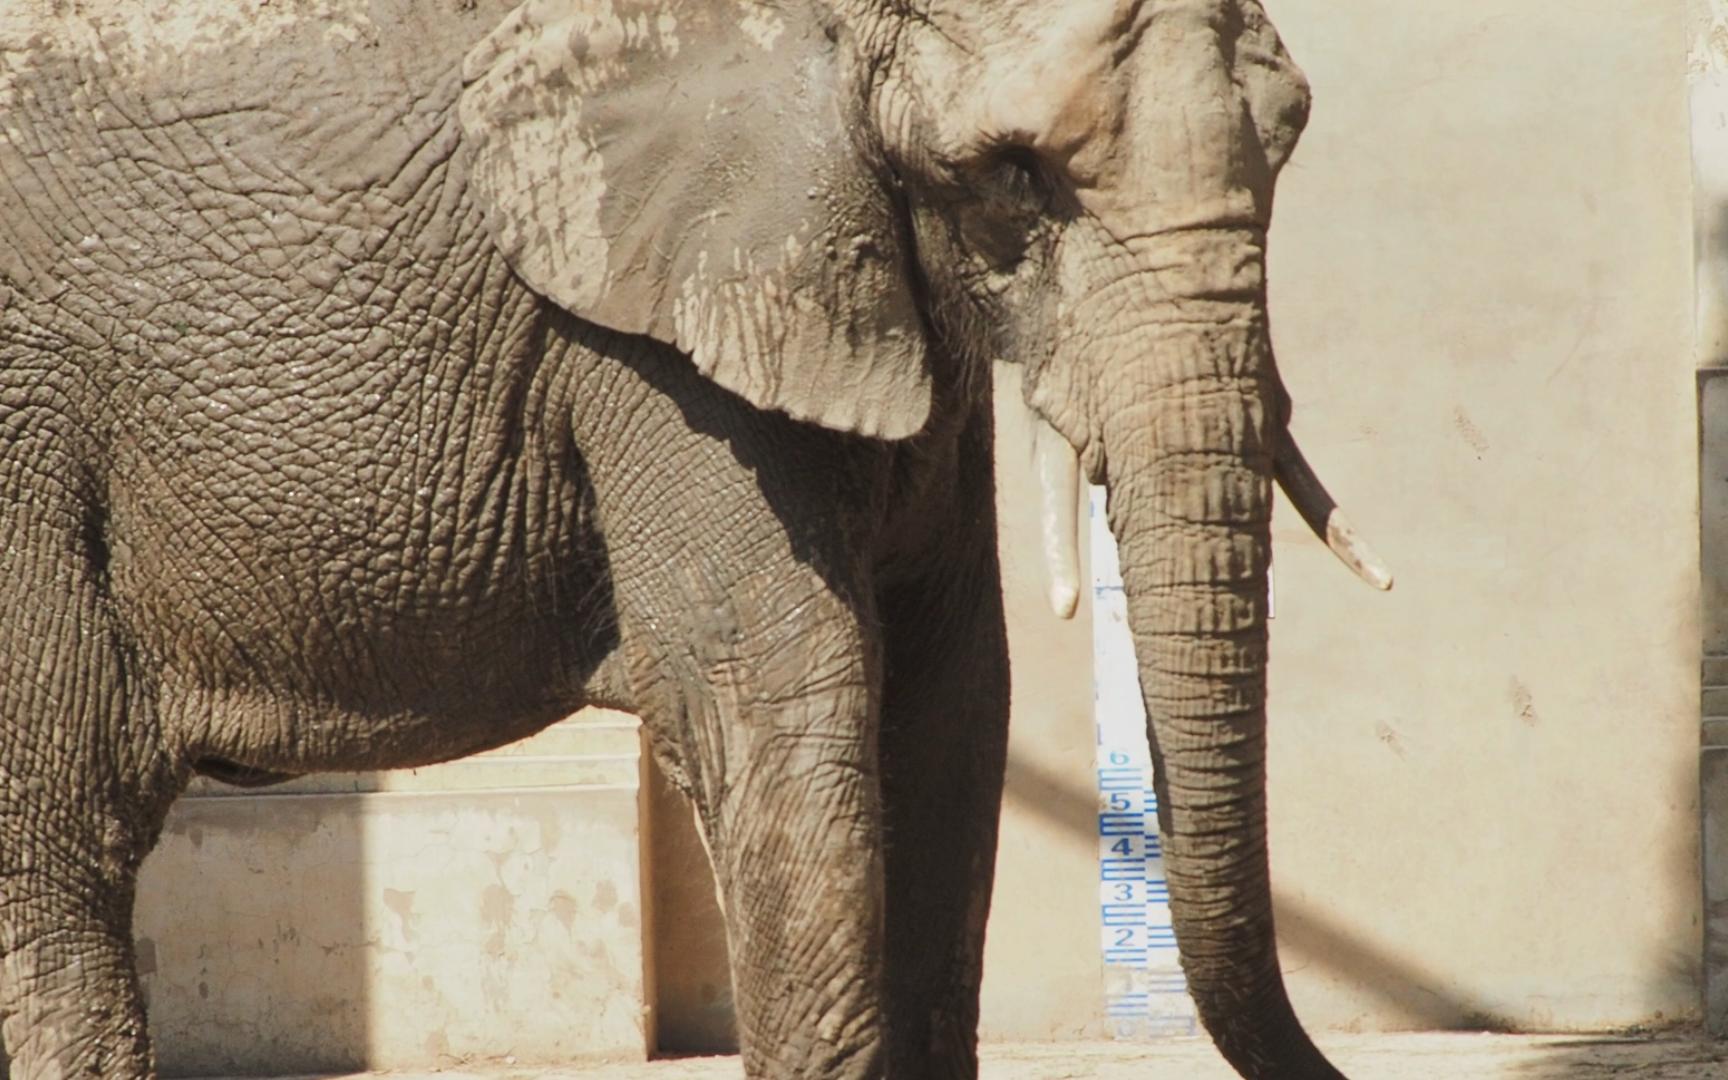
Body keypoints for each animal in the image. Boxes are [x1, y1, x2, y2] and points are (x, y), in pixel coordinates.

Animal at [0, 0, 1392, 1077]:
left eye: (1292, 135)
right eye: (1013, 175)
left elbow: (946, 704)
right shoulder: (657, 336)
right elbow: (776, 695)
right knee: (54, 850)